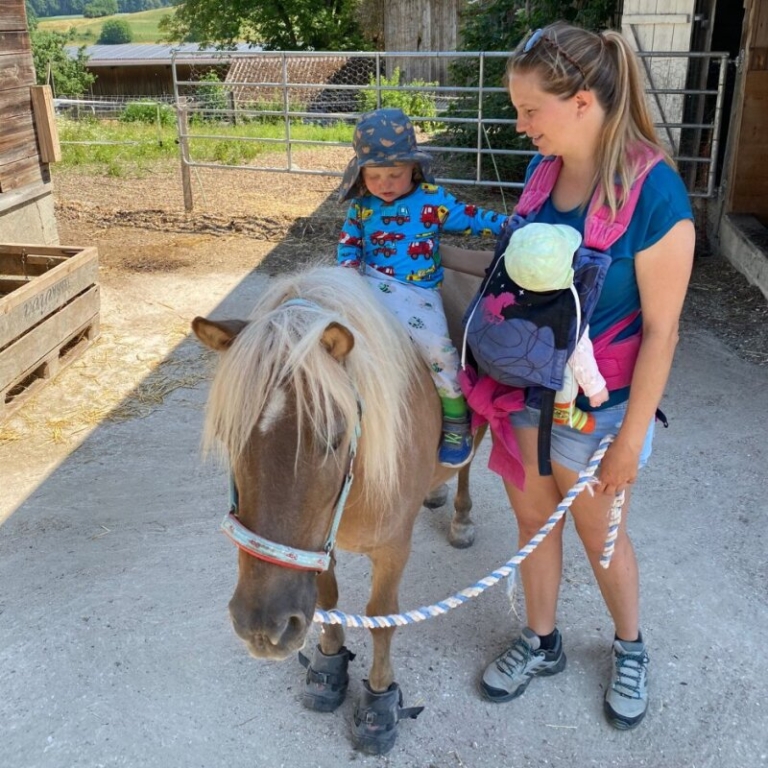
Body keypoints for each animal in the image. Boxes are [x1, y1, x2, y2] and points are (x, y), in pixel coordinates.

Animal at [192, 264, 480, 756]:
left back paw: (461, 516)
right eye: (230, 434)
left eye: (333, 436)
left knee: (467, 466)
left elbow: (382, 620)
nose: (261, 625)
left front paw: (380, 700)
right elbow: (327, 601)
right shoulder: (317, 545)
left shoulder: (392, 550)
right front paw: (328, 665)